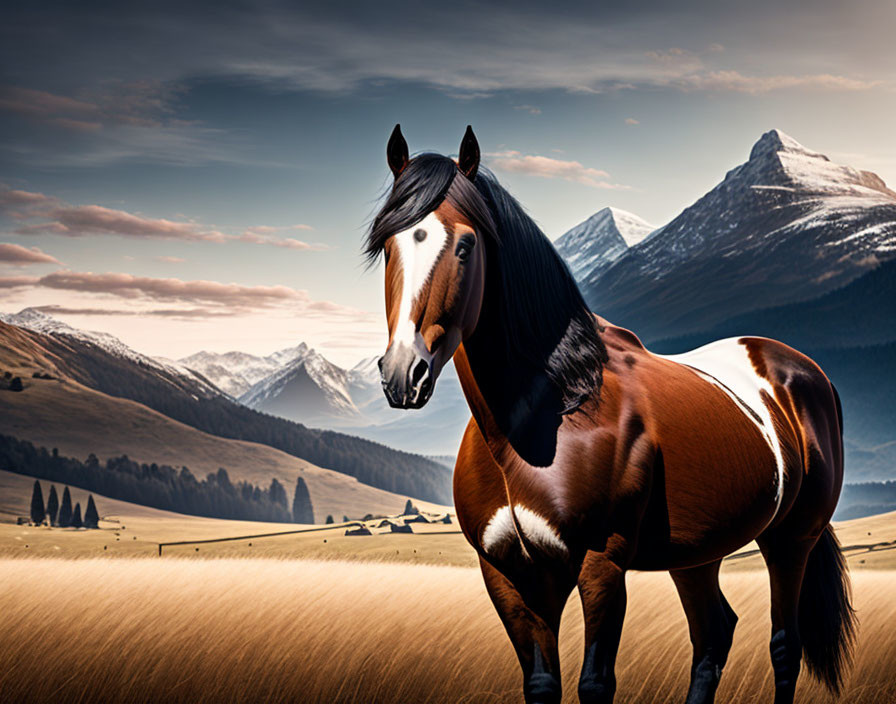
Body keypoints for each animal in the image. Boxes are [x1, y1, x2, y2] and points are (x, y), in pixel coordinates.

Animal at [368, 126, 856, 704]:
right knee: (713, 636)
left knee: (784, 646)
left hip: (791, 539)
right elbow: (542, 682)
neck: (547, 415)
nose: (405, 374)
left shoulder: (601, 563)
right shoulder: (508, 573)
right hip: (697, 553)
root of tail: (804, 372)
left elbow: (595, 682)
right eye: (387, 246)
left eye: (465, 245)